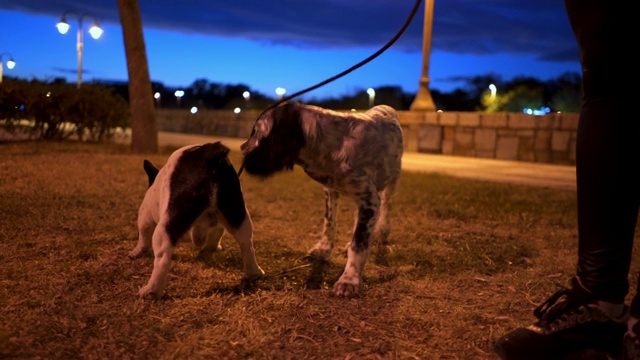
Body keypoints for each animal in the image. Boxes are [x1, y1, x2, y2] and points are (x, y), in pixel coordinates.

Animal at [129, 142, 264, 300]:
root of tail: (208, 154)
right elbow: (217, 233)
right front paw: (212, 247)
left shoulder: (145, 215)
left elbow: (143, 236)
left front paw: (137, 252)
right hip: (237, 212)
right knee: (246, 244)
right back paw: (253, 273)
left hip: (168, 222)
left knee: (163, 256)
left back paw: (151, 290)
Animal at [242, 102, 402, 296]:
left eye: (256, 132)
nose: (242, 149)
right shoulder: (332, 191)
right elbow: (329, 223)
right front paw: (324, 249)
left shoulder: (369, 199)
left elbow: (359, 242)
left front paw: (350, 279)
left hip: (391, 182)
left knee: (386, 206)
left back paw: (382, 231)